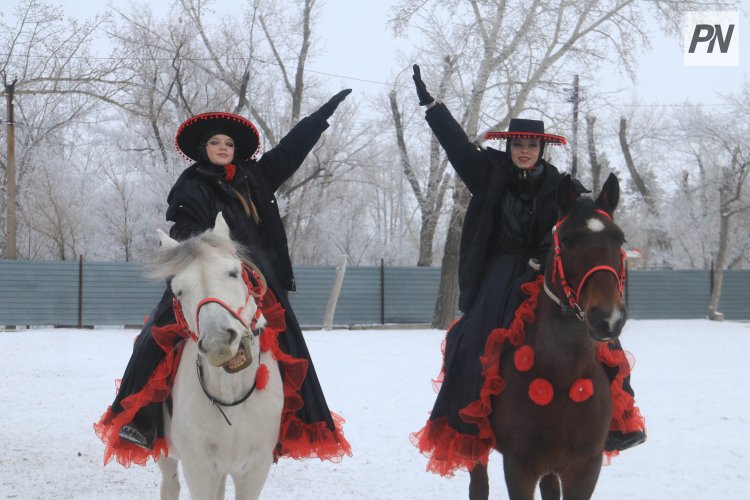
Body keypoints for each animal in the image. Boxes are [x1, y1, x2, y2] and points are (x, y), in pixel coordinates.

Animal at [153, 213, 284, 500]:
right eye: (178, 291)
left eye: (234, 273)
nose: (219, 342)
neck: (232, 392)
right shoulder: (199, 469)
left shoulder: (255, 469)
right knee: (170, 485)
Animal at [476, 173, 628, 500]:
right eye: (567, 240)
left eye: (619, 239)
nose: (607, 318)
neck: (563, 377)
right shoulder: (519, 467)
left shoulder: (585, 469)